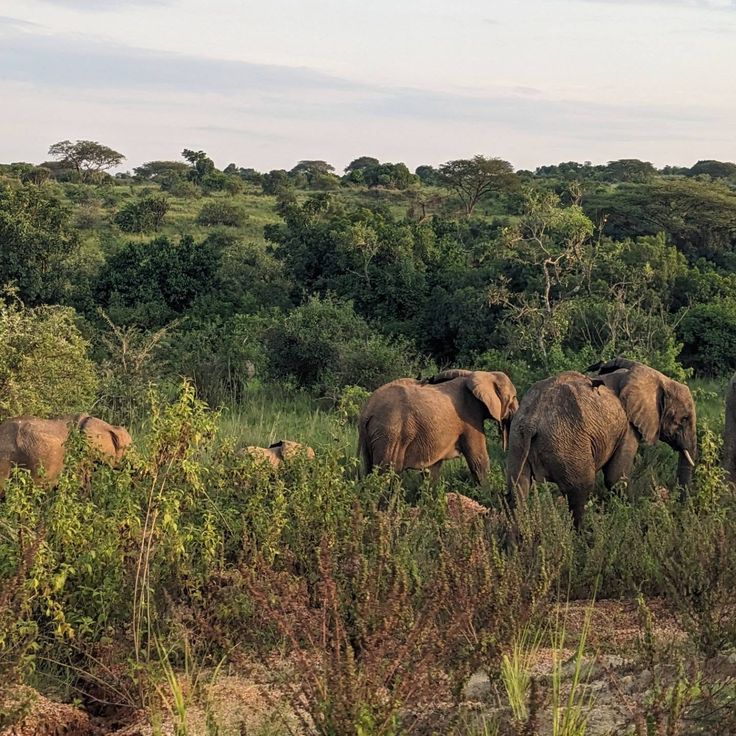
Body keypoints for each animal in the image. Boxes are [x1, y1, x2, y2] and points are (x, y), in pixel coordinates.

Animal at [358, 369, 518, 484]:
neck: (481, 374)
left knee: (368, 469)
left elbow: (432, 469)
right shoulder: (470, 418)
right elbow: (479, 461)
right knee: (387, 474)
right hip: (391, 434)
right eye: (514, 397)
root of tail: (368, 410)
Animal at [506, 358, 697, 528]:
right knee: (579, 491)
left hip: (517, 440)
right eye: (684, 419)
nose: (680, 513)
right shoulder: (628, 428)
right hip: (567, 444)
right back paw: (582, 538)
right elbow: (616, 477)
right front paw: (635, 514)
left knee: (517, 492)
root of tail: (531, 422)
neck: (658, 378)